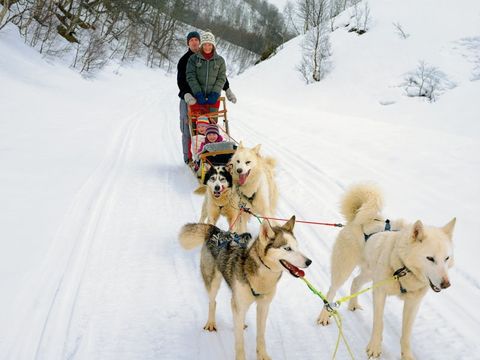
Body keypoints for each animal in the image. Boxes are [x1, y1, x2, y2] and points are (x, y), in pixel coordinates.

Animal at [179, 217, 312, 360]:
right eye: (287, 248)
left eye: (297, 247)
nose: (309, 262)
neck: (262, 277)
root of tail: (217, 231)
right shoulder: (238, 305)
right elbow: (239, 342)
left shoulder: (263, 306)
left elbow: (261, 336)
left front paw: (262, 355)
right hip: (214, 283)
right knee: (212, 302)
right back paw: (211, 323)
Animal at [316, 186, 456, 360]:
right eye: (430, 258)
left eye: (446, 258)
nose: (446, 284)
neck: (403, 267)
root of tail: (356, 219)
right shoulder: (379, 293)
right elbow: (379, 323)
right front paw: (374, 348)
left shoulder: (413, 304)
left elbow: (406, 335)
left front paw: (407, 356)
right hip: (344, 269)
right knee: (332, 291)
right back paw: (324, 315)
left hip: (370, 273)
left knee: (355, 281)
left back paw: (353, 304)